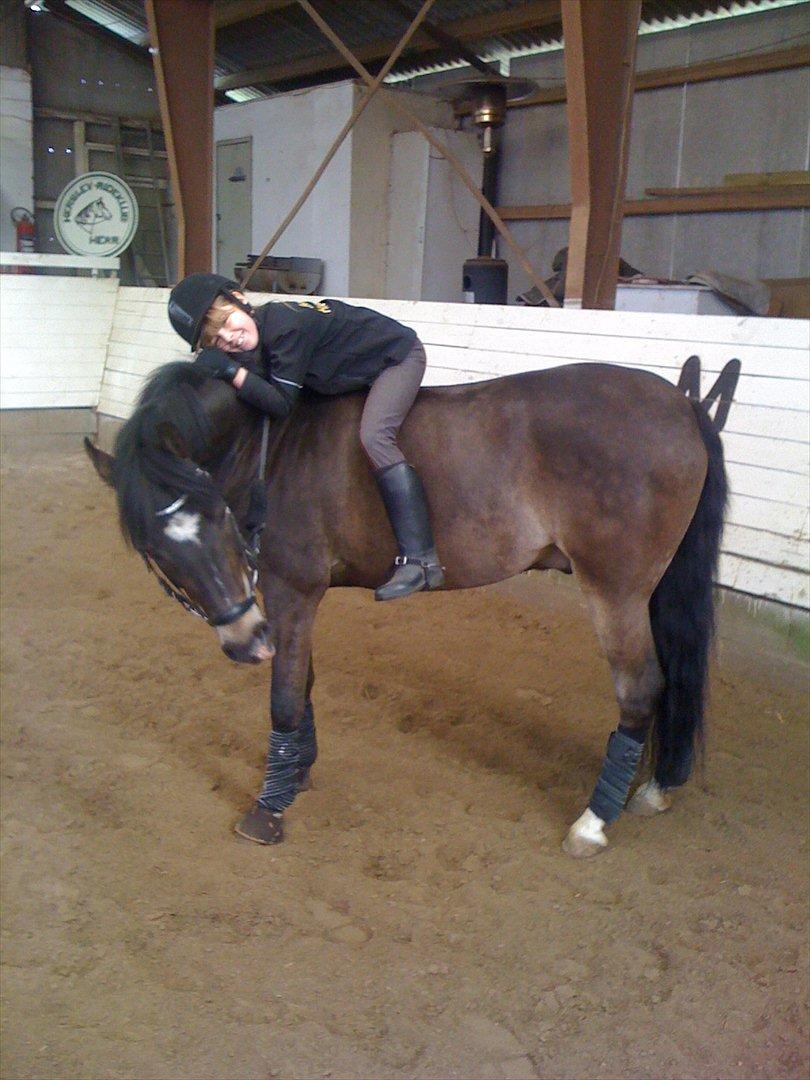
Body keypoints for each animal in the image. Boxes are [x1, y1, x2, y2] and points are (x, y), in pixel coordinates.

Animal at [85, 354, 737, 858]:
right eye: (154, 549)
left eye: (217, 515)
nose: (245, 641)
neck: (274, 441)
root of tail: (683, 407)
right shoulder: (284, 598)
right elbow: (304, 680)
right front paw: (298, 771)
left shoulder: (290, 590)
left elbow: (284, 698)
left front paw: (268, 809)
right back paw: (657, 785)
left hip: (616, 592)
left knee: (640, 689)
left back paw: (594, 821)